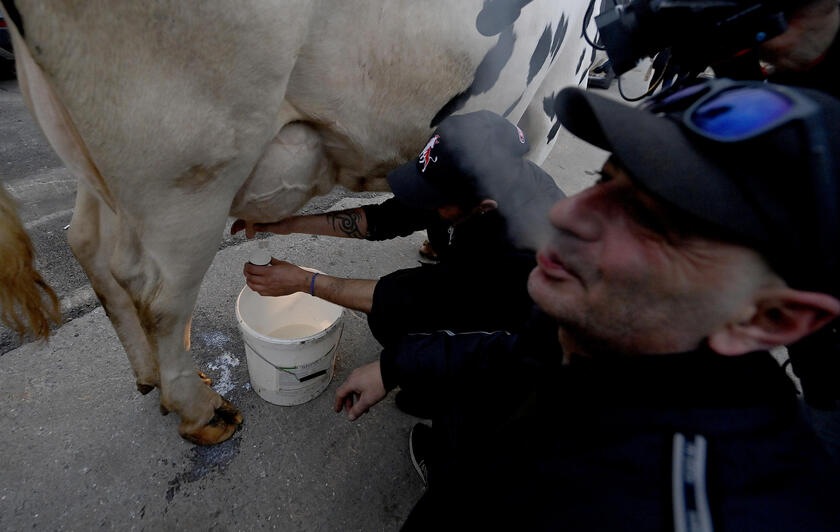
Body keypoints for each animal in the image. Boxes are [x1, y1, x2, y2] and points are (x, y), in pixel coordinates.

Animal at [3, 0, 600, 442]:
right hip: (189, 163)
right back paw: (202, 412)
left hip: (92, 157)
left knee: (89, 249)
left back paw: (150, 378)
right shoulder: (551, 94)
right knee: (158, 294)